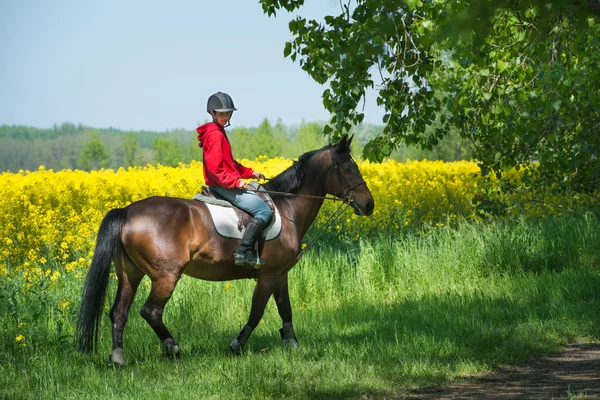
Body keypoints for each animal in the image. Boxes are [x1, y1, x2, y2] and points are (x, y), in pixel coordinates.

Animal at [75, 134, 376, 366]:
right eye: (347, 168)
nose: (369, 204)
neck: (287, 209)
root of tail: (127, 211)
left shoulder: (280, 274)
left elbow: (285, 309)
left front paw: (292, 343)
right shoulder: (268, 275)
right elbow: (257, 312)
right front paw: (236, 345)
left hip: (130, 274)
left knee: (119, 312)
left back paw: (118, 357)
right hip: (166, 276)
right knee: (150, 311)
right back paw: (173, 348)